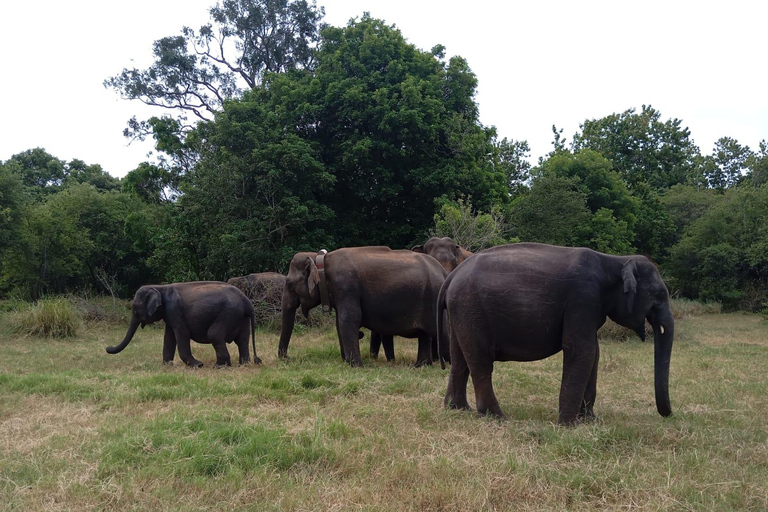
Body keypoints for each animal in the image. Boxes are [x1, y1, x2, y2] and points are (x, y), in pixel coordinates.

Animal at [105, 280, 262, 368]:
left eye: (135, 309)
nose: (107, 347)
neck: (160, 287)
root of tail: (247, 301)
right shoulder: (169, 314)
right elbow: (169, 337)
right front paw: (167, 366)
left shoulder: (174, 310)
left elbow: (181, 333)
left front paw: (198, 365)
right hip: (241, 316)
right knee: (242, 340)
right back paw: (244, 365)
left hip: (230, 312)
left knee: (214, 334)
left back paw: (220, 367)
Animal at [280, 247, 450, 364]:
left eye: (289, 284)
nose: (288, 358)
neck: (320, 259)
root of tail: (443, 272)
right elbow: (339, 323)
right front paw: (346, 361)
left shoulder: (346, 286)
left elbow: (349, 319)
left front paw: (356, 365)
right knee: (424, 335)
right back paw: (421, 365)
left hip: (434, 297)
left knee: (442, 332)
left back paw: (446, 365)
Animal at [440, 243, 676, 424]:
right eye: (658, 296)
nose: (668, 415)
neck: (614, 261)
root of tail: (451, 277)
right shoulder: (583, 298)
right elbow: (581, 350)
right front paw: (569, 425)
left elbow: (594, 353)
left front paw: (589, 421)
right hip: (470, 308)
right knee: (481, 362)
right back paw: (498, 417)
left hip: (460, 313)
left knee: (460, 359)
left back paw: (458, 409)